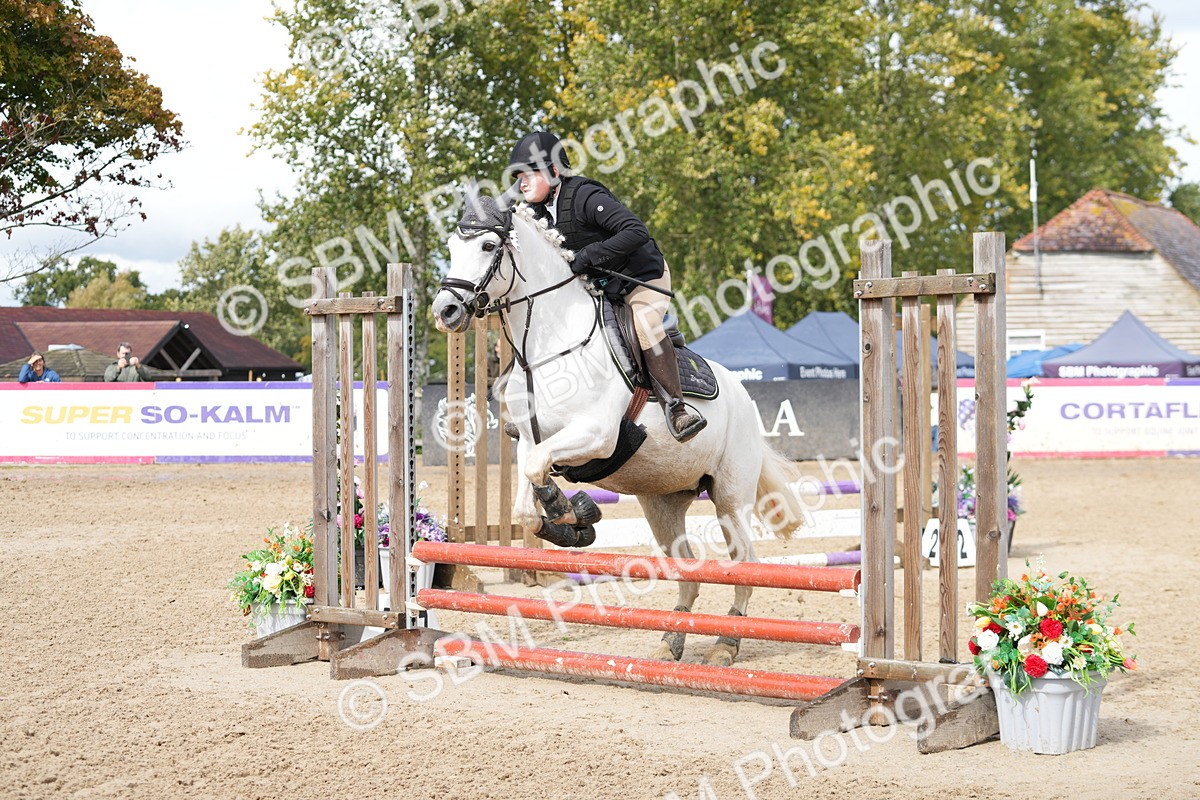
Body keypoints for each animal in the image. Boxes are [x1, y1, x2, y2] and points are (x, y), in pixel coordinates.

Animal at [432, 196, 806, 666]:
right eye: (450, 246)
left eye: (486, 246)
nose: (444, 312)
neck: (550, 344)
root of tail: (743, 395)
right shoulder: (531, 439)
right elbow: (525, 503)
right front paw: (574, 520)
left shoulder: (599, 435)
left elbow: (540, 469)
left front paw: (569, 511)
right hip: (664, 503)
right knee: (687, 570)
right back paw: (671, 641)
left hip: (730, 498)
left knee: (745, 565)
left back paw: (726, 643)